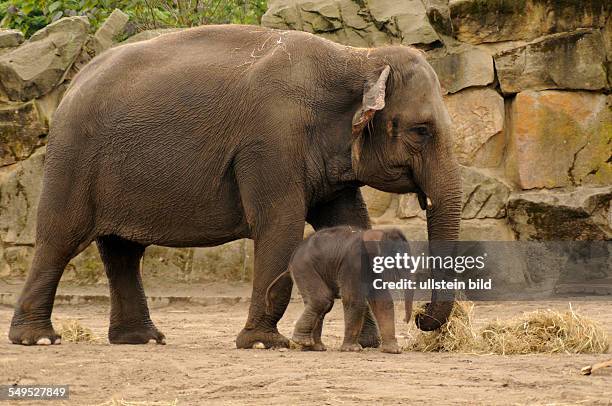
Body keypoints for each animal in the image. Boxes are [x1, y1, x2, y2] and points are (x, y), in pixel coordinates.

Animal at [270, 227, 414, 354]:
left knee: (321, 304)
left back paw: (314, 347)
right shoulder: (353, 265)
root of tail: (292, 259)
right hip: (305, 268)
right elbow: (353, 300)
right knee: (322, 299)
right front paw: (352, 349)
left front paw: (394, 351)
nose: (404, 320)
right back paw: (303, 341)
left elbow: (382, 302)